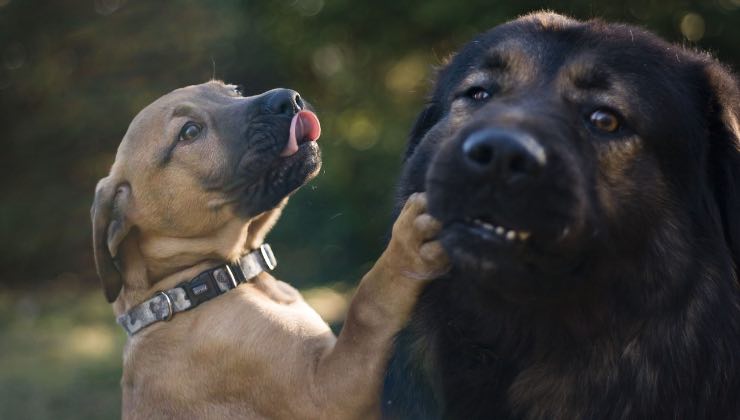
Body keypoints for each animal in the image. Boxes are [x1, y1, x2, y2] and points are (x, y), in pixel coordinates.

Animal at [94, 80, 448, 418]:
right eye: (190, 132)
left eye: (233, 91)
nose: (289, 99)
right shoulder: (325, 393)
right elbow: (367, 305)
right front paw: (405, 249)